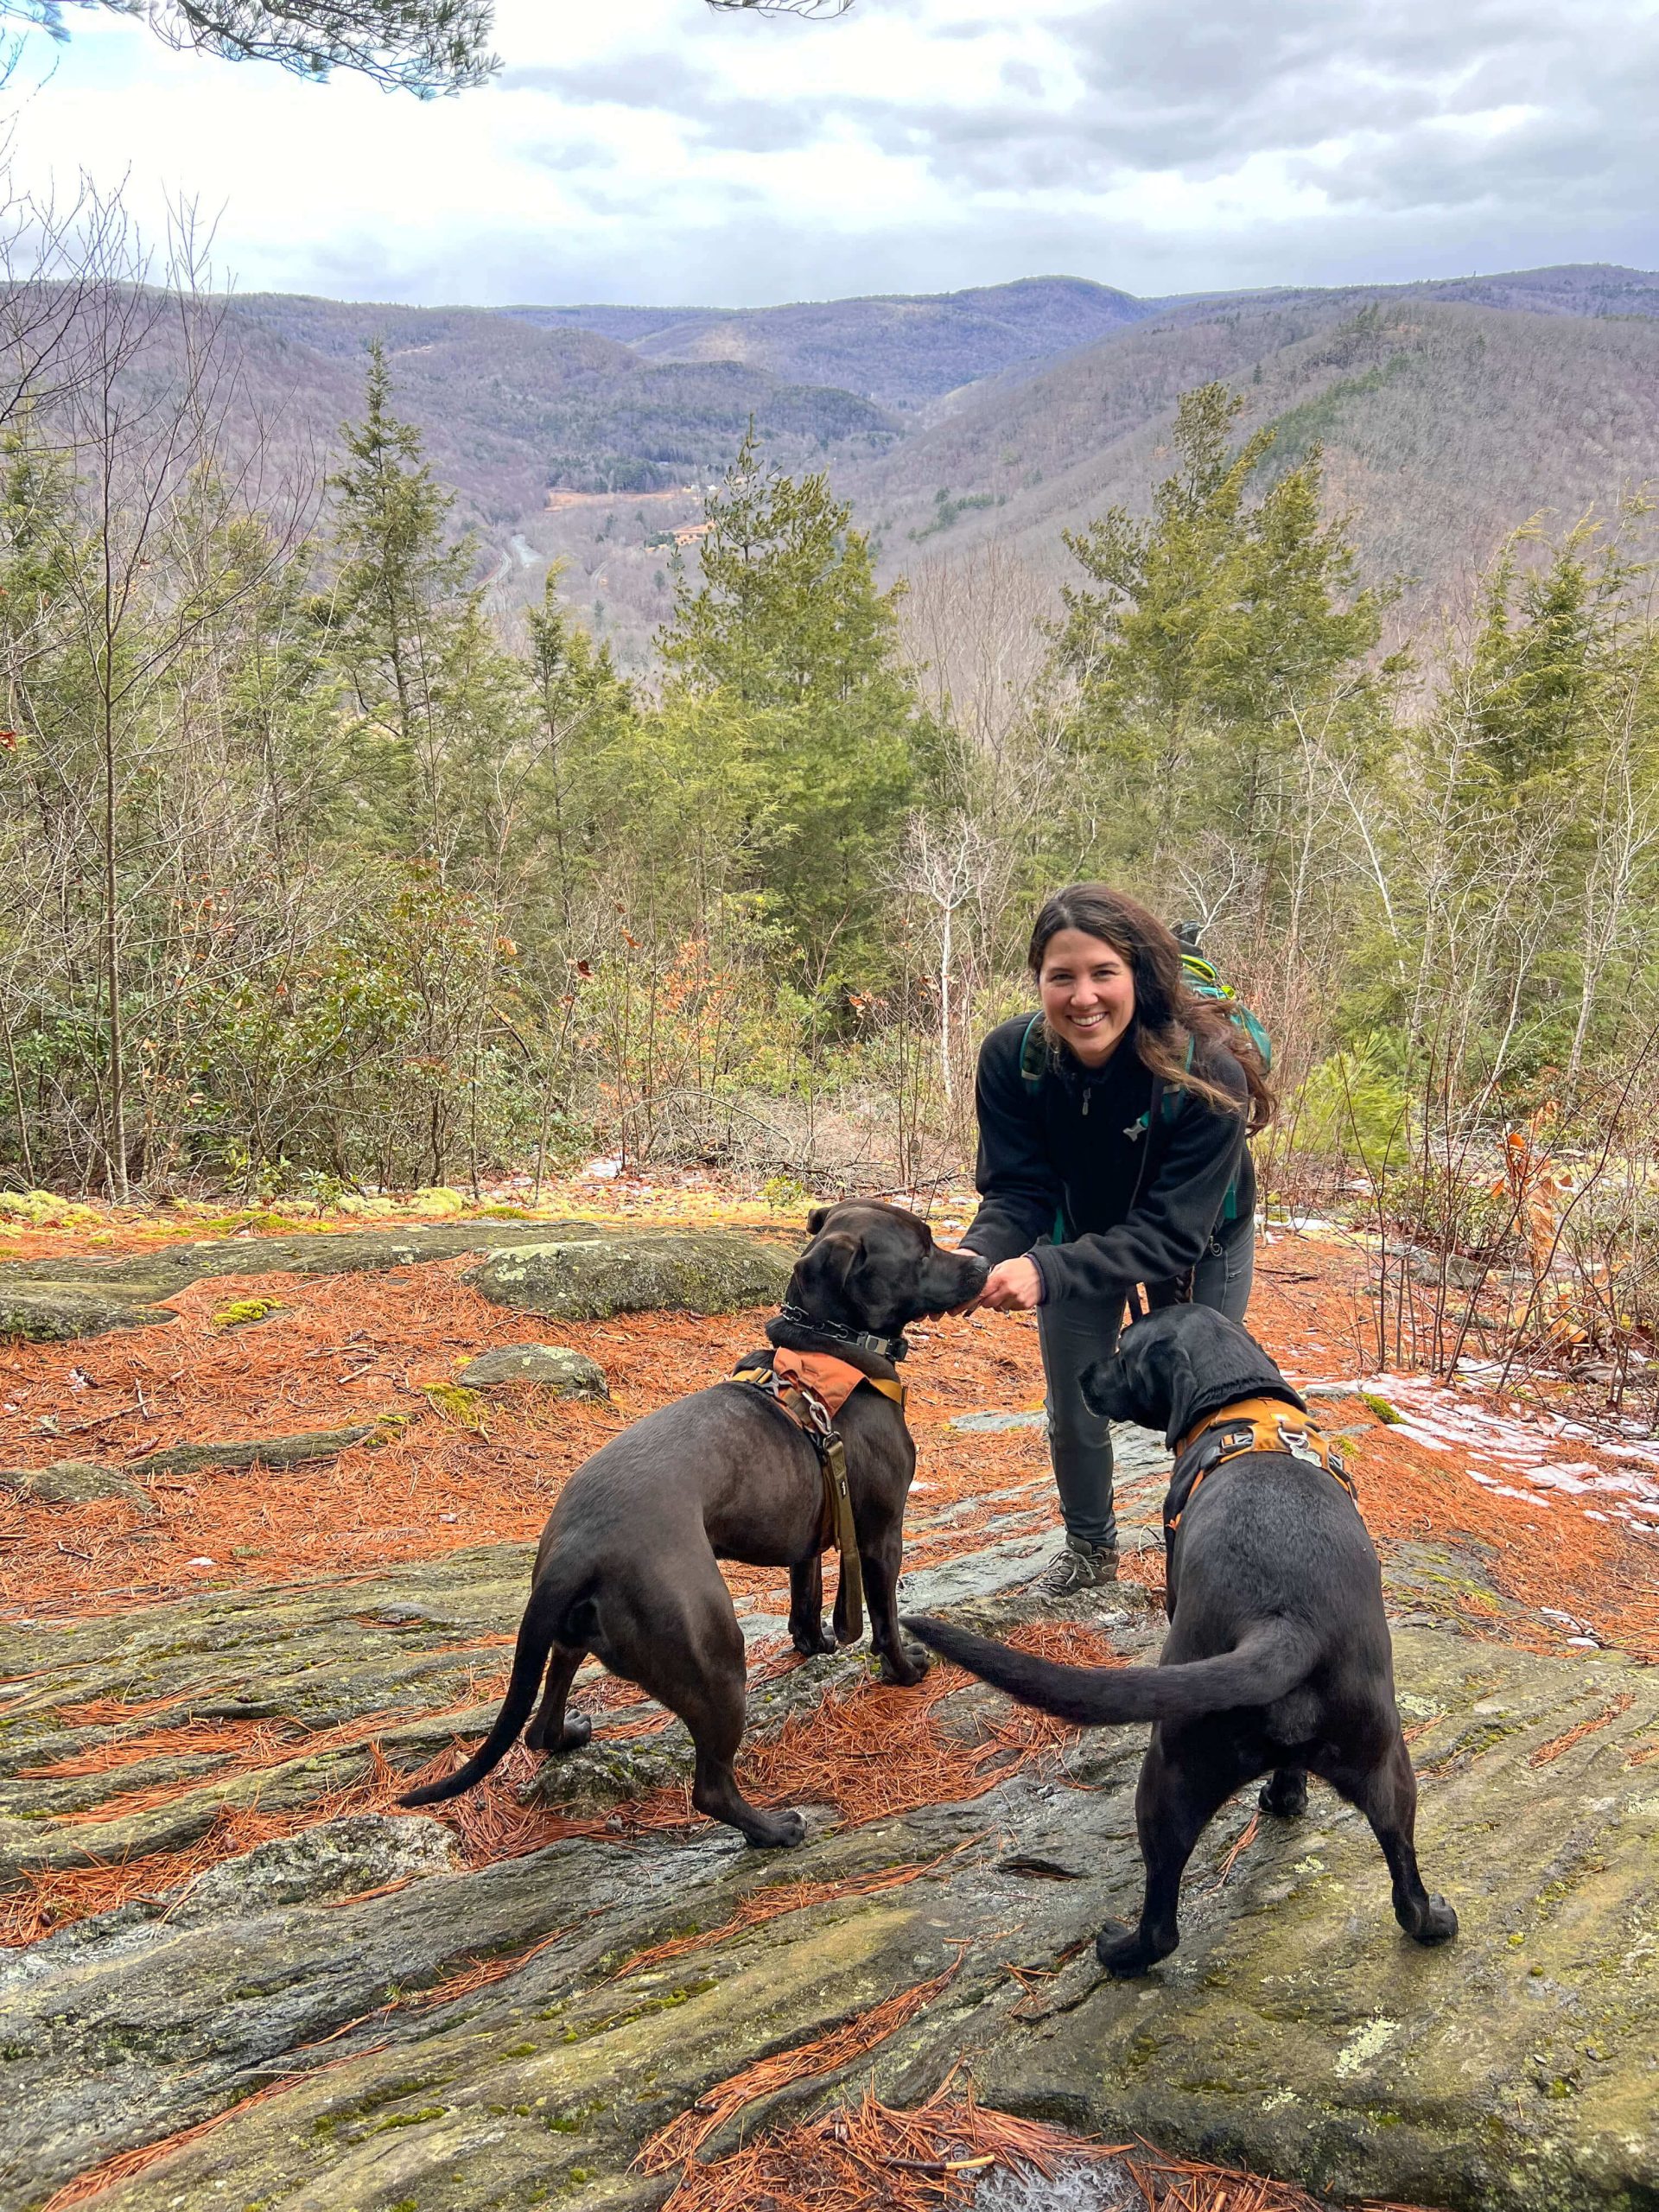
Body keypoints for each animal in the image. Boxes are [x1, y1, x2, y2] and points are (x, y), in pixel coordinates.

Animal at [402, 1203, 986, 1840]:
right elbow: (885, 1620)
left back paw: (569, 1734)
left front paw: (815, 1644)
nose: (982, 1264)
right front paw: (904, 1670)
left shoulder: (807, 1537)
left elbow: (805, 1600)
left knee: (540, 1722)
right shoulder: (882, 1535)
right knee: (710, 1786)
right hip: (715, 1659)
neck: (828, 1346)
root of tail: (577, 1550)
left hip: (571, 1637)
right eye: (923, 1250)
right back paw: (774, 1830)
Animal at [902, 1300, 1459, 1981]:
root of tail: (1286, 1623)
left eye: (1122, 1351)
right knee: (1405, 1874)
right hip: (1387, 1765)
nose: (1082, 1374)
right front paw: (1287, 1800)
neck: (1239, 1401)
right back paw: (1432, 1920)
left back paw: (1121, 1951)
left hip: (1168, 1772)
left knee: (1163, 1915)